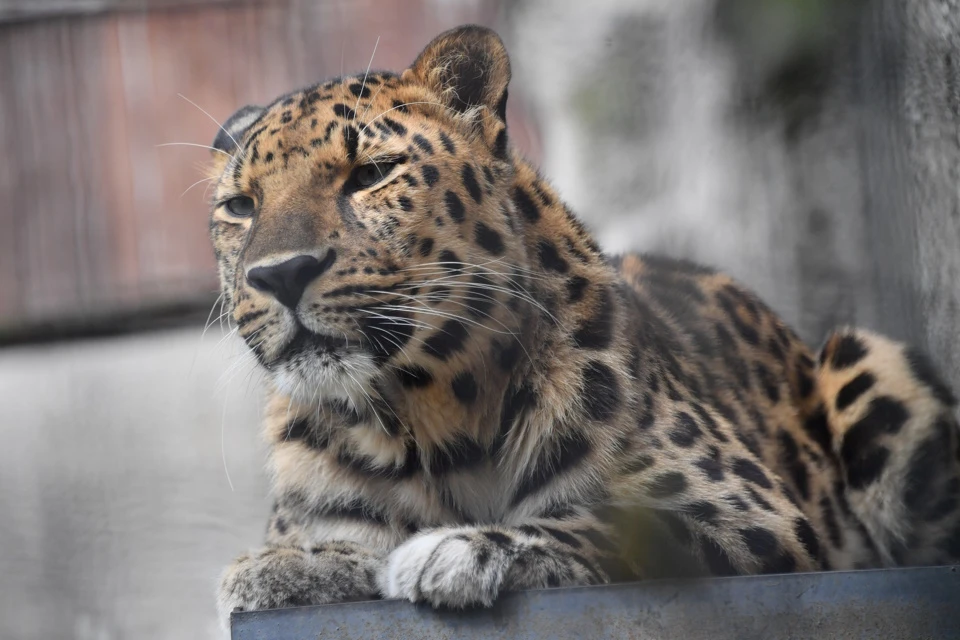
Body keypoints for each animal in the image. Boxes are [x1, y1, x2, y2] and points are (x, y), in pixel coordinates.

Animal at [204, 22, 960, 628]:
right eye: (241, 206)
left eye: (371, 173)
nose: (281, 274)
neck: (428, 416)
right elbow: (327, 544)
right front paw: (289, 565)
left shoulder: (751, 511)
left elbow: (613, 524)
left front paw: (463, 548)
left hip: (869, 362)